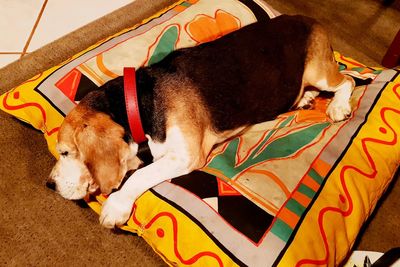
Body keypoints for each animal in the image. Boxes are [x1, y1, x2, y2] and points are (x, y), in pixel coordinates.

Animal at [49, 15, 354, 228]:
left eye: (65, 152)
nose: (49, 184)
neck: (139, 105)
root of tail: (311, 20)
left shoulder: (186, 156)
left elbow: (140, 174)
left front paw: (116, 205)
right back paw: (305, 99)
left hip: (319, 72)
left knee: (347, 82)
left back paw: (338, 106)